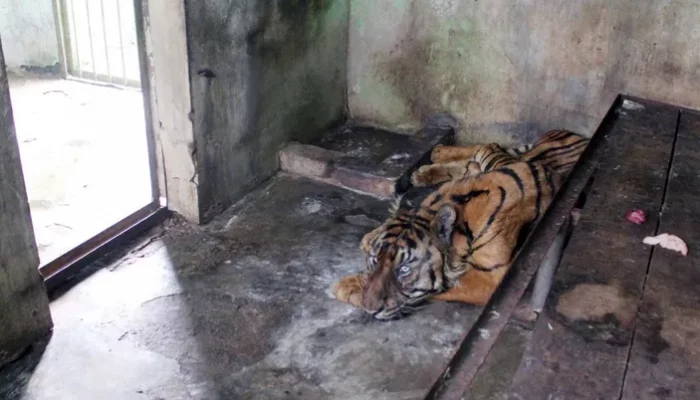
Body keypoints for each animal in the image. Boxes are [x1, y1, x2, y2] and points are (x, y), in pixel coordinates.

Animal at [330, 130, 588, 320]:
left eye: (403, 269)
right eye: (375, 260)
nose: (369, 308)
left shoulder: (492, 278)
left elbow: (445, 287)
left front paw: (348, 286)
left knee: (485, 151)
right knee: (483, 150)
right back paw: (433, 159)